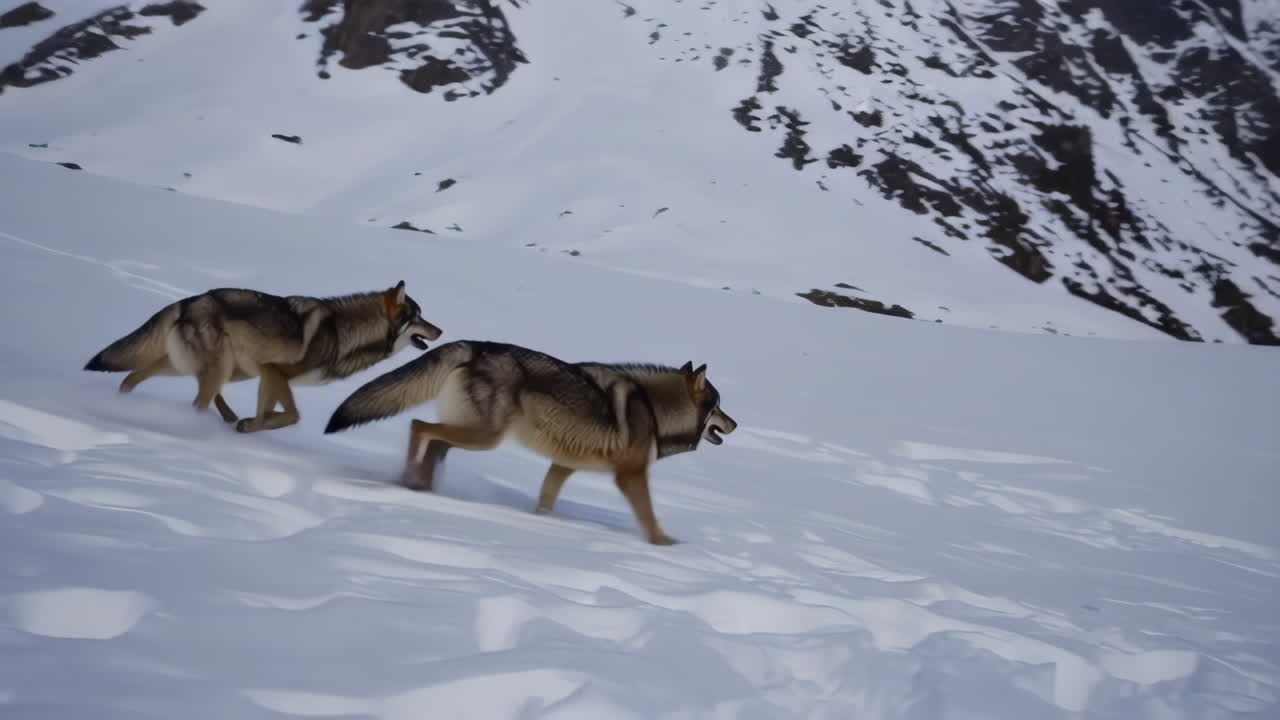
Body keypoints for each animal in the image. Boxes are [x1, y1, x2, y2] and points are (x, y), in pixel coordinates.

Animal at [84, 281, 442, 433]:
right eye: (419, 316)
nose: (441, 330)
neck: (345, 333)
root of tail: (188, 301)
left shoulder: (268, 377)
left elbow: (275, 413)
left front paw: (251, 424)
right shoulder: (273, 371)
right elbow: (293, 416)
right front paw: (251, 425)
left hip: (211, 368)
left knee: (133, 376)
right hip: (220, 369)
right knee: (197, 401)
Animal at [322, 340, 737, 545]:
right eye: (719, 406)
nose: (736, 423)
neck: (653, 409)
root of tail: (474, 345)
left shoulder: (563, 465)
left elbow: (545, 499)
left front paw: (540, 522)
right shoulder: (631, 476)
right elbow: (649, 515)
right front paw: (663, 543)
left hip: (471, 434)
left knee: (433, 440)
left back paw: (420, 485)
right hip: (485, 438)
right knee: (419, 426)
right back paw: (411, 480)